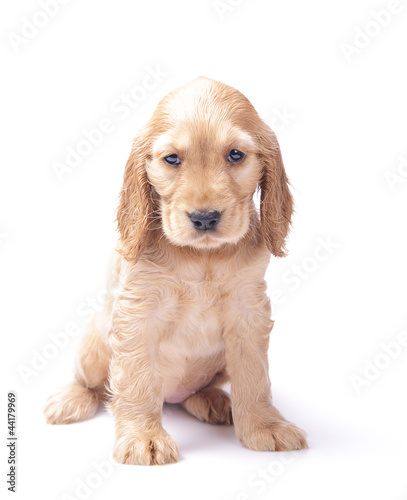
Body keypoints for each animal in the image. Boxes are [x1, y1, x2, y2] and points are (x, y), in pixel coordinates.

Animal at [44, 77, 308, 464]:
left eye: (235, 155)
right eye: (172, 159)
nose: (205, 218)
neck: (202, 258)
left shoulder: (249, 311)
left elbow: (255, 376)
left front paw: (266, 426)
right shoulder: (137, 313)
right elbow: (137, 380)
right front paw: (144, 438)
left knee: (191, 394)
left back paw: (213, 401)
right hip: (92, 350)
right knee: (95, 385)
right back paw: (71, 399)